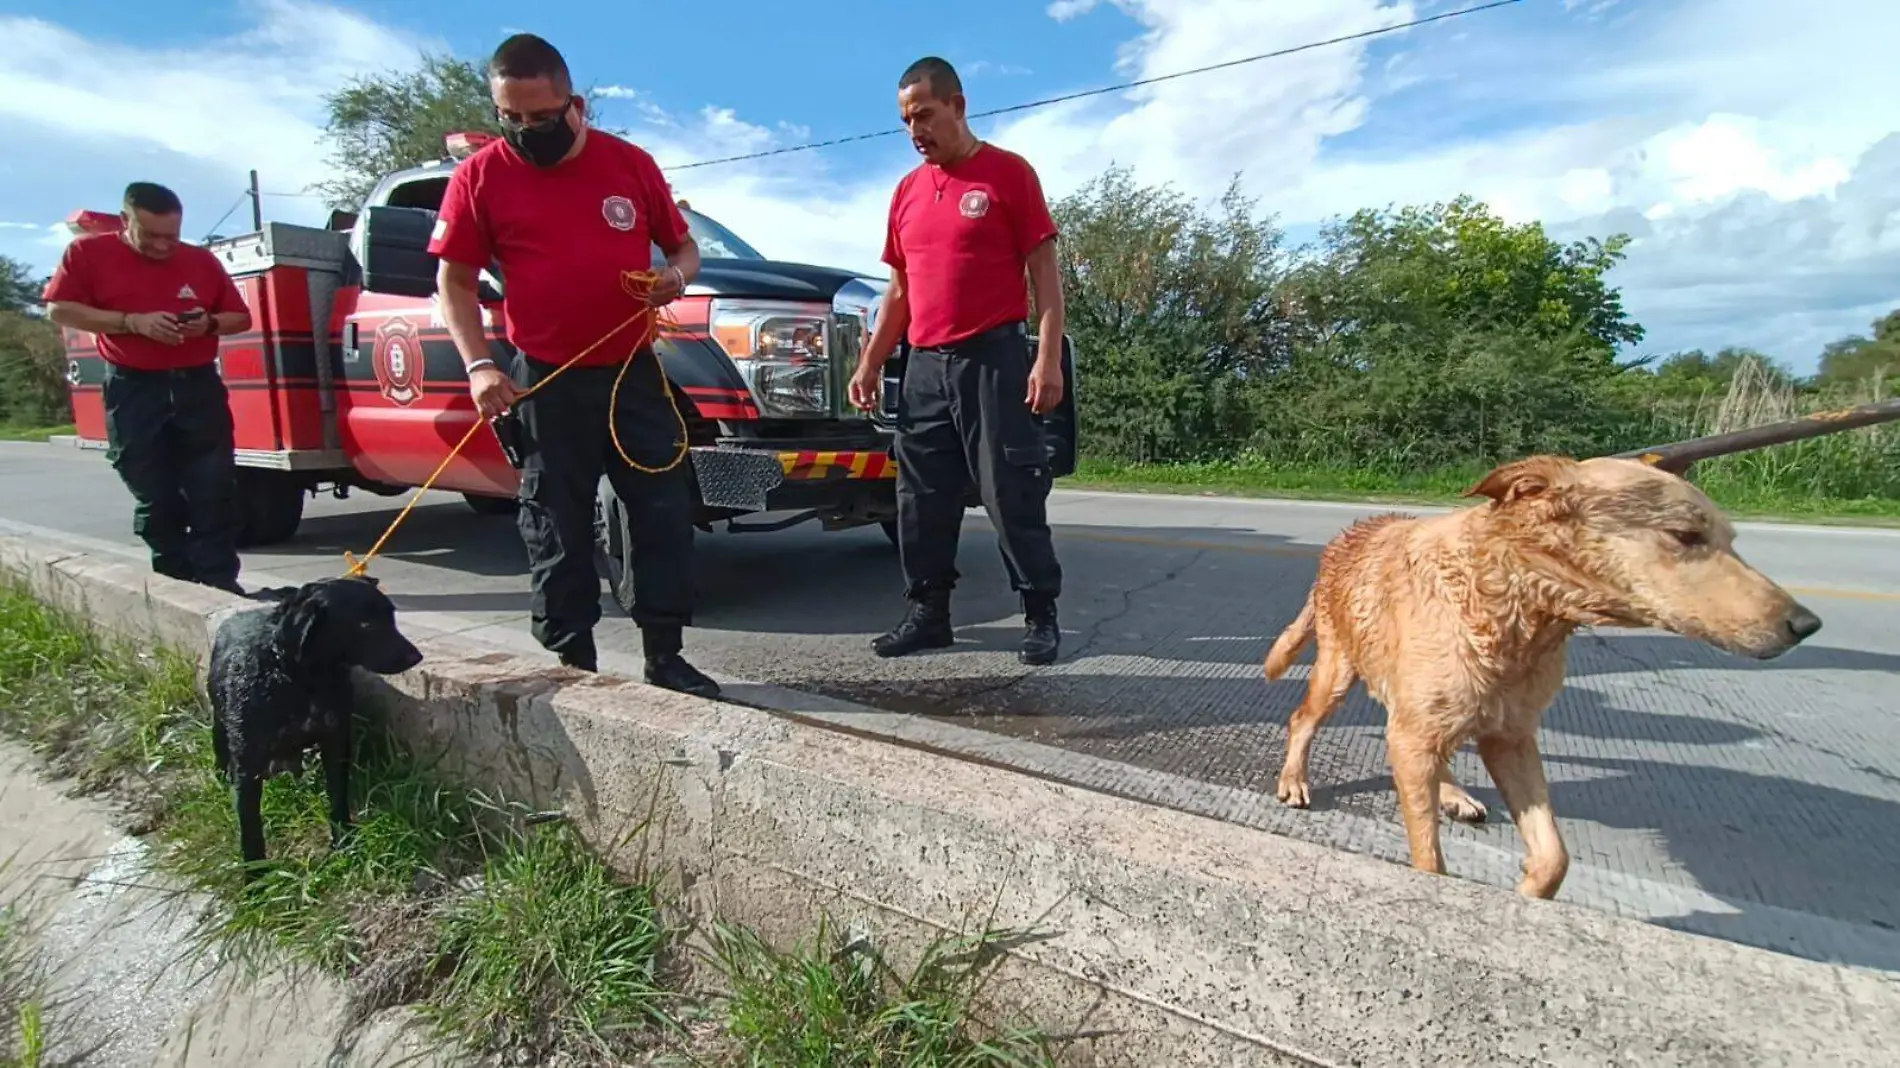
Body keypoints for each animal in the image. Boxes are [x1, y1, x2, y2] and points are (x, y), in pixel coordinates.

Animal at [208, 570, 423, 870]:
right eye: (366, 624)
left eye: (391, 616)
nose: (417, 656)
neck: (299, 678)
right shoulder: (247, 767)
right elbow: (250, 828)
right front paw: (256, 875)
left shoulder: (336, 742)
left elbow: (338, 796)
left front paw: (343, 841)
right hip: (219, 724)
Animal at [1269, 452, 1816, 893]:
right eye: (1686, 536)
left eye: (1731, 539)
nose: (1806, 624)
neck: (1514, 606)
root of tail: (1346, 536)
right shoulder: (1421, 731)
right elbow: (1430, 861)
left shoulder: (1510, 738)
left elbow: (1555, 857)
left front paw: (1529, 887)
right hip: (1338, 674)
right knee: (1303, 720)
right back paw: (1294, 780)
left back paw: (1453, 794)